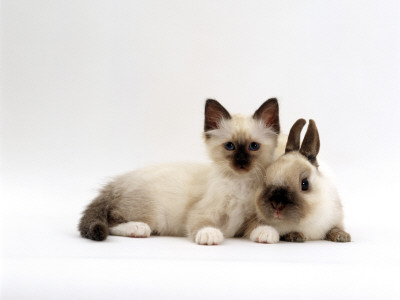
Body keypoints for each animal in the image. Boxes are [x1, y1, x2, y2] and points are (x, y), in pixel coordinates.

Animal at [77, 98, 278, 244]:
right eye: (230, 146)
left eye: (253, 146)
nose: (241, 163)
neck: (239, 183)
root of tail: (118, 181)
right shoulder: (202, 211)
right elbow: (203, 224)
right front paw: (210, 235)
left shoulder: (251, 215)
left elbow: (257, 224)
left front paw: (267, 233)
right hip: (155, 213)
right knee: (111, 221)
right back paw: (138, 229)